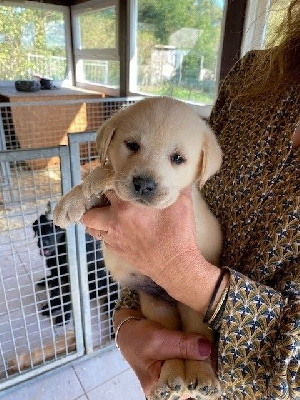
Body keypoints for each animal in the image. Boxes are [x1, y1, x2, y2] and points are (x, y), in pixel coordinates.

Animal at [54, 97, 223, 400]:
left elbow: (108, 173)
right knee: (171, 345)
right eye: (132, 145)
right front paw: (71, 201)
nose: (144, 184)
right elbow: (108, 176)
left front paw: (96, 179)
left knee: (199, 341)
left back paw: (202, 377)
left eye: (177, 158)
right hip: (157, 308)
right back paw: (171, 380)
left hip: (195, 310)